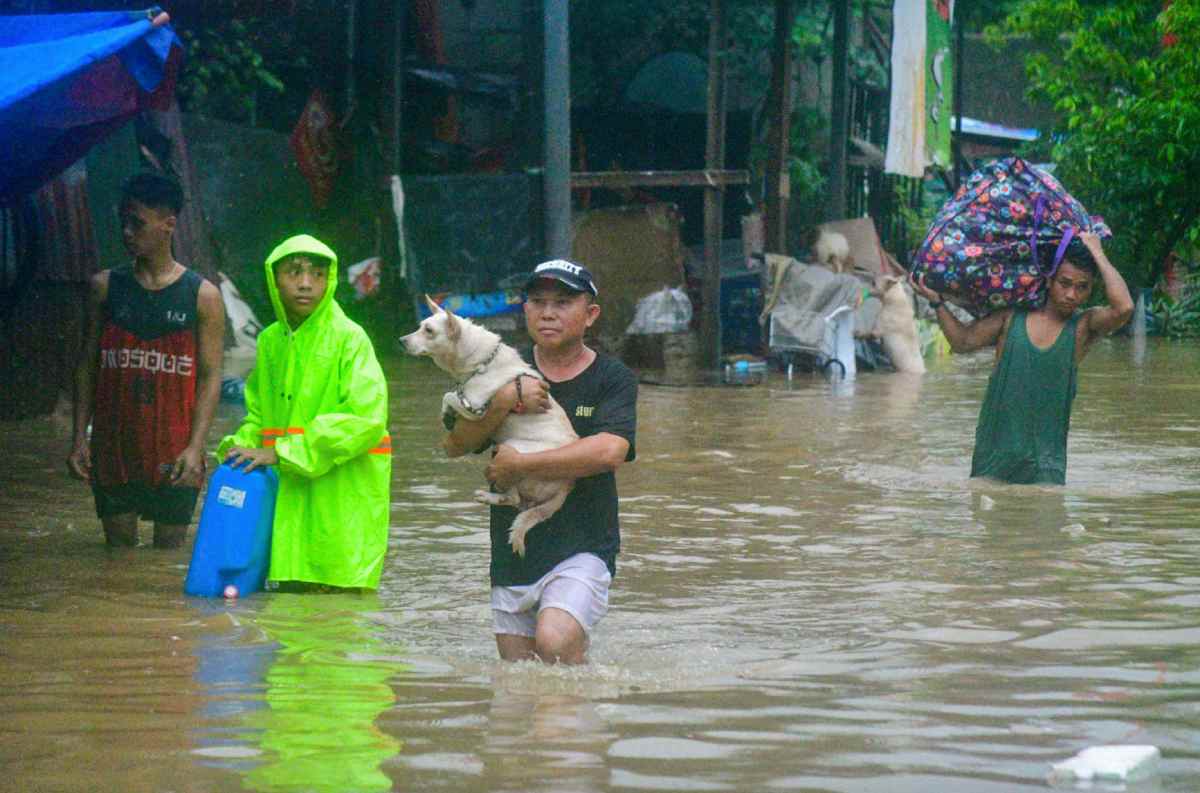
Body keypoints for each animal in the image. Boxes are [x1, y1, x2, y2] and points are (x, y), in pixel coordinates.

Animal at [398, 292, 576, 556]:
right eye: (420, 326)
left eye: (428, 331)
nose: (401, 341)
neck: (482, 362)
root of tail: (566, 485)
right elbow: (450, 396)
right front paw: (447, 415)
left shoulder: (476, 407)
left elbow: (450, 395)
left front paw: (446, 412)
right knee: (515, 502)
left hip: (513, 451)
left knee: (513, 498)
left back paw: (486, 496)